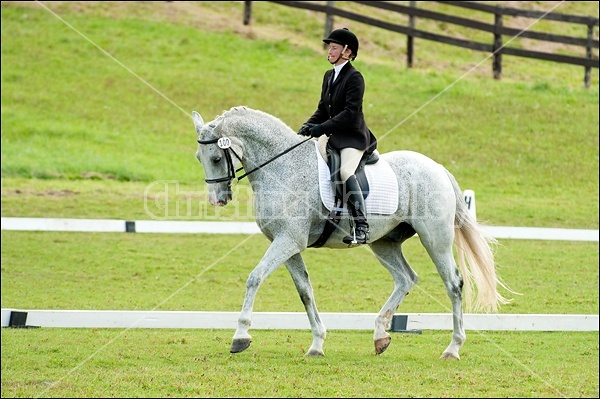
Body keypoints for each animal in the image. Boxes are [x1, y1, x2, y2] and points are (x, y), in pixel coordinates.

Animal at [192, 105, 510, 360]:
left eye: (216, 158)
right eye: (199, 157)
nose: (218, 200)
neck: (283, 167)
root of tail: (438, 168)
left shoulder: (288, 241)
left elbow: (254, 278)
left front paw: (240, 336)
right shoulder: (287, 243)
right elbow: (305, 291)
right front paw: (317, 344)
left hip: (436, 239)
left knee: (453, 284)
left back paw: (453, 348)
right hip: (384, 242)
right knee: (406, 278)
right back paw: (381, 336)